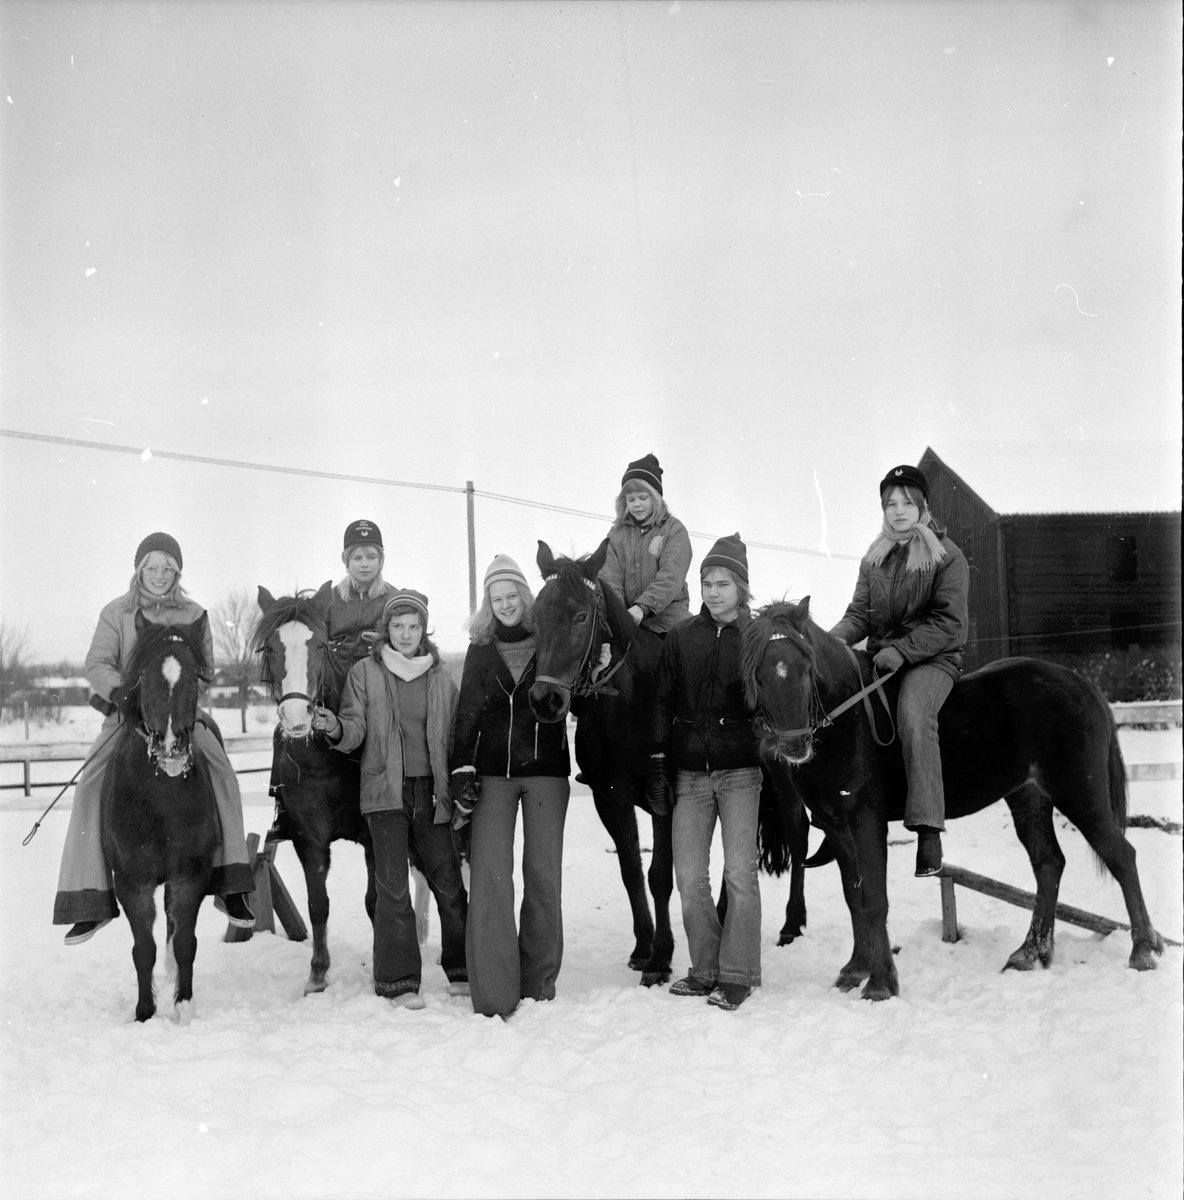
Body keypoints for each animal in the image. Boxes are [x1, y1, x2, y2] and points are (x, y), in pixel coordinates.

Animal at [101, 619, 221, 1022]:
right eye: (144, 676)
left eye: (196, 677)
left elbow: (183, 942)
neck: (161, 802)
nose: (171, 745)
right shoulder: (131, 883)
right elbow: (143, 949)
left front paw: (183, 1006)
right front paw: (144, 1012)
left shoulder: (189, 875)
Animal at [254, 588, 374, 993]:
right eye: (270, 647)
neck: (327, 757)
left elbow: (377, 900)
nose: (296, 719)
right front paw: (318, 974)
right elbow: (317, 904)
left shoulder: (375, 833)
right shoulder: (309, 837)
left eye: (320, 644)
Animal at [738, 600, 1166, 1003]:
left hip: (1078, 791)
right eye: (758, 674)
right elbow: (853, 896)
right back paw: (1029, 953)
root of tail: (1080, 683)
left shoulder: (866, 821)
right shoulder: (836, 825)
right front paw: (855, 969)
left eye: (806, 667)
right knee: (1049, 864)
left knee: (1121, 857)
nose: (794, 746)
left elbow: (874, 898)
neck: (849, 718)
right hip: (1028, 797)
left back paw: (1143, 951)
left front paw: (881, 983)